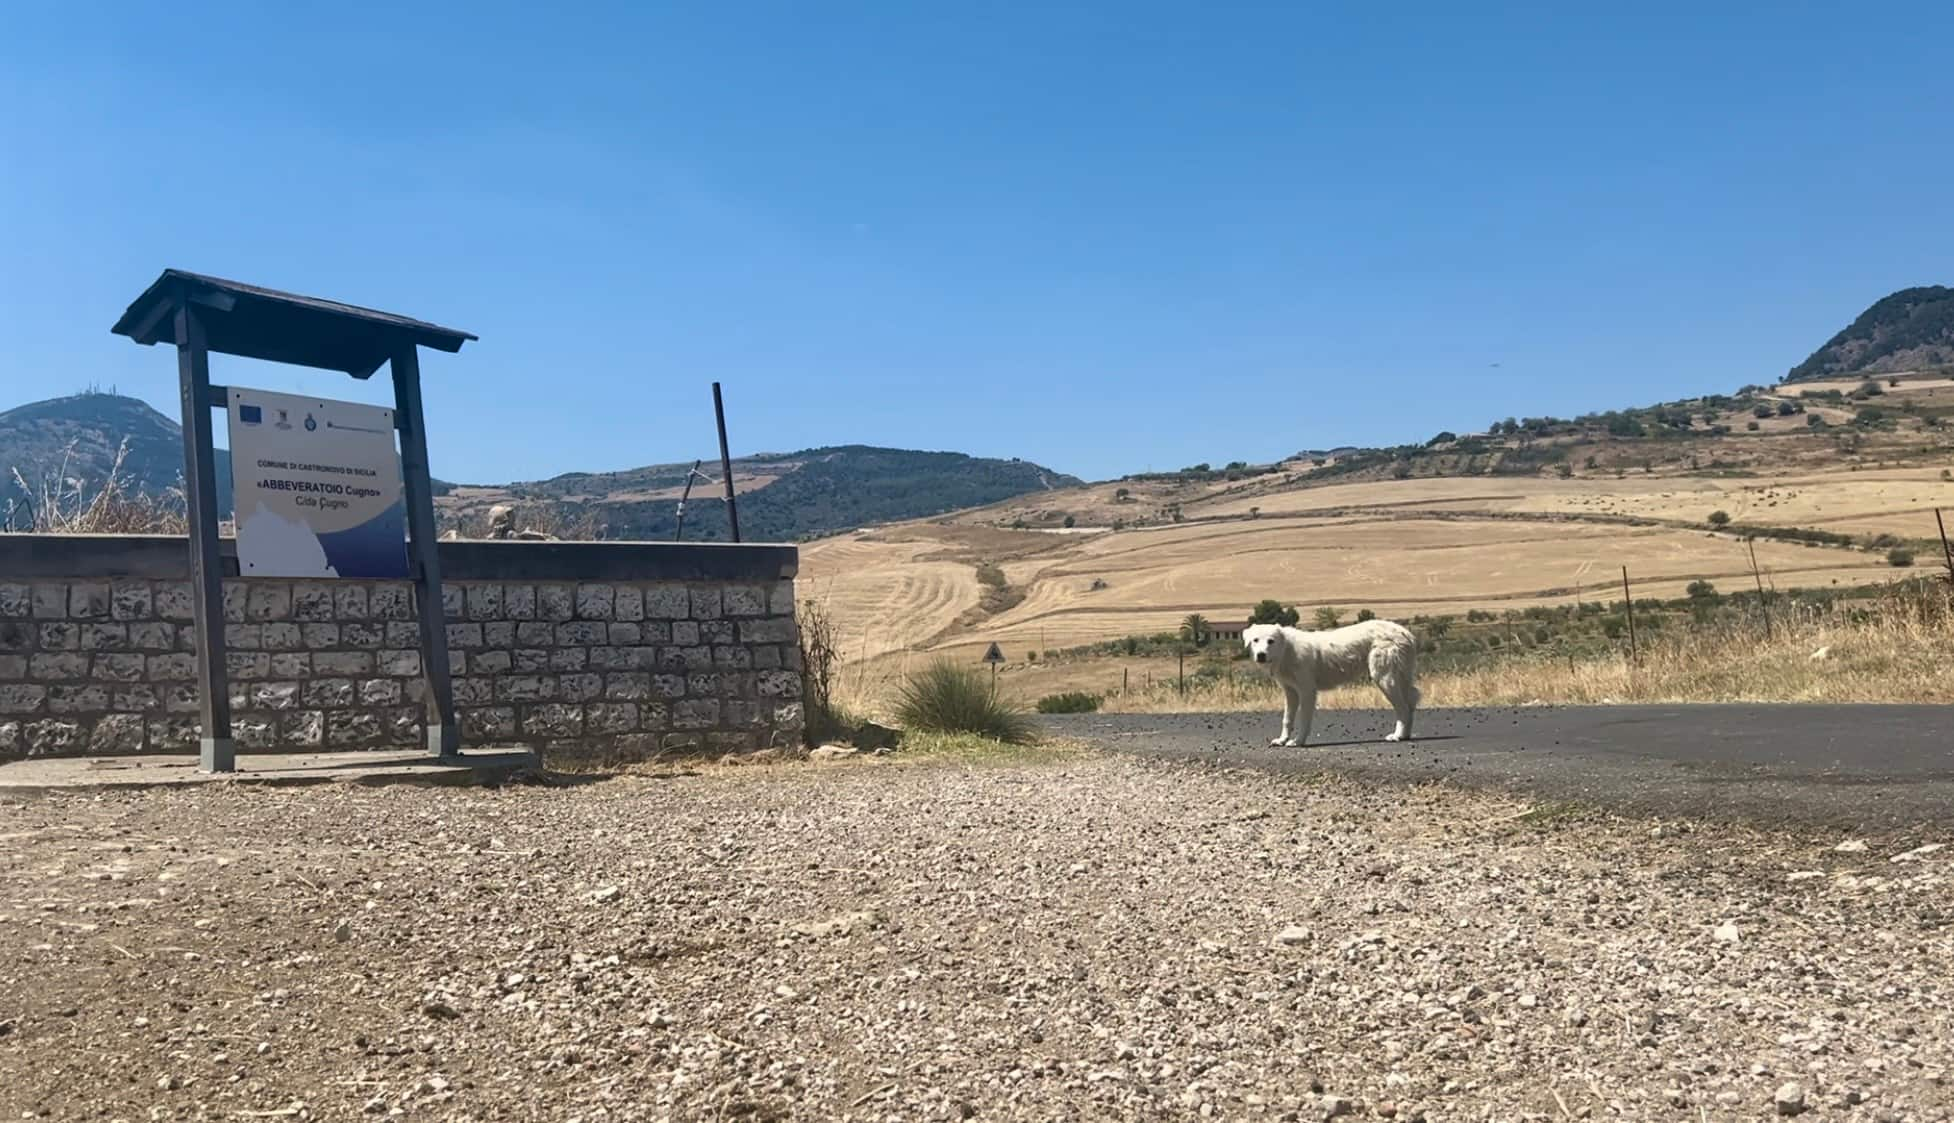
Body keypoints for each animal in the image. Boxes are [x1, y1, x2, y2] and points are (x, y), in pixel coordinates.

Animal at [1250, 621, 1422, 749]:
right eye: (1255, 640)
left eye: (1271, 641)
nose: (1261, 655)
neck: (1286, 649)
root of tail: (1406, 633)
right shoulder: (1290, 691)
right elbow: (1287, 719)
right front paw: (1282, 740)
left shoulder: (1307, 690)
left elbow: (1304, 718)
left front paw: (1298, 741)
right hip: (1400, 676)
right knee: (1411, 700)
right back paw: (1405, 735)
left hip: (1384, 677)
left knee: (1403, 708)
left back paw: (1398, 735)